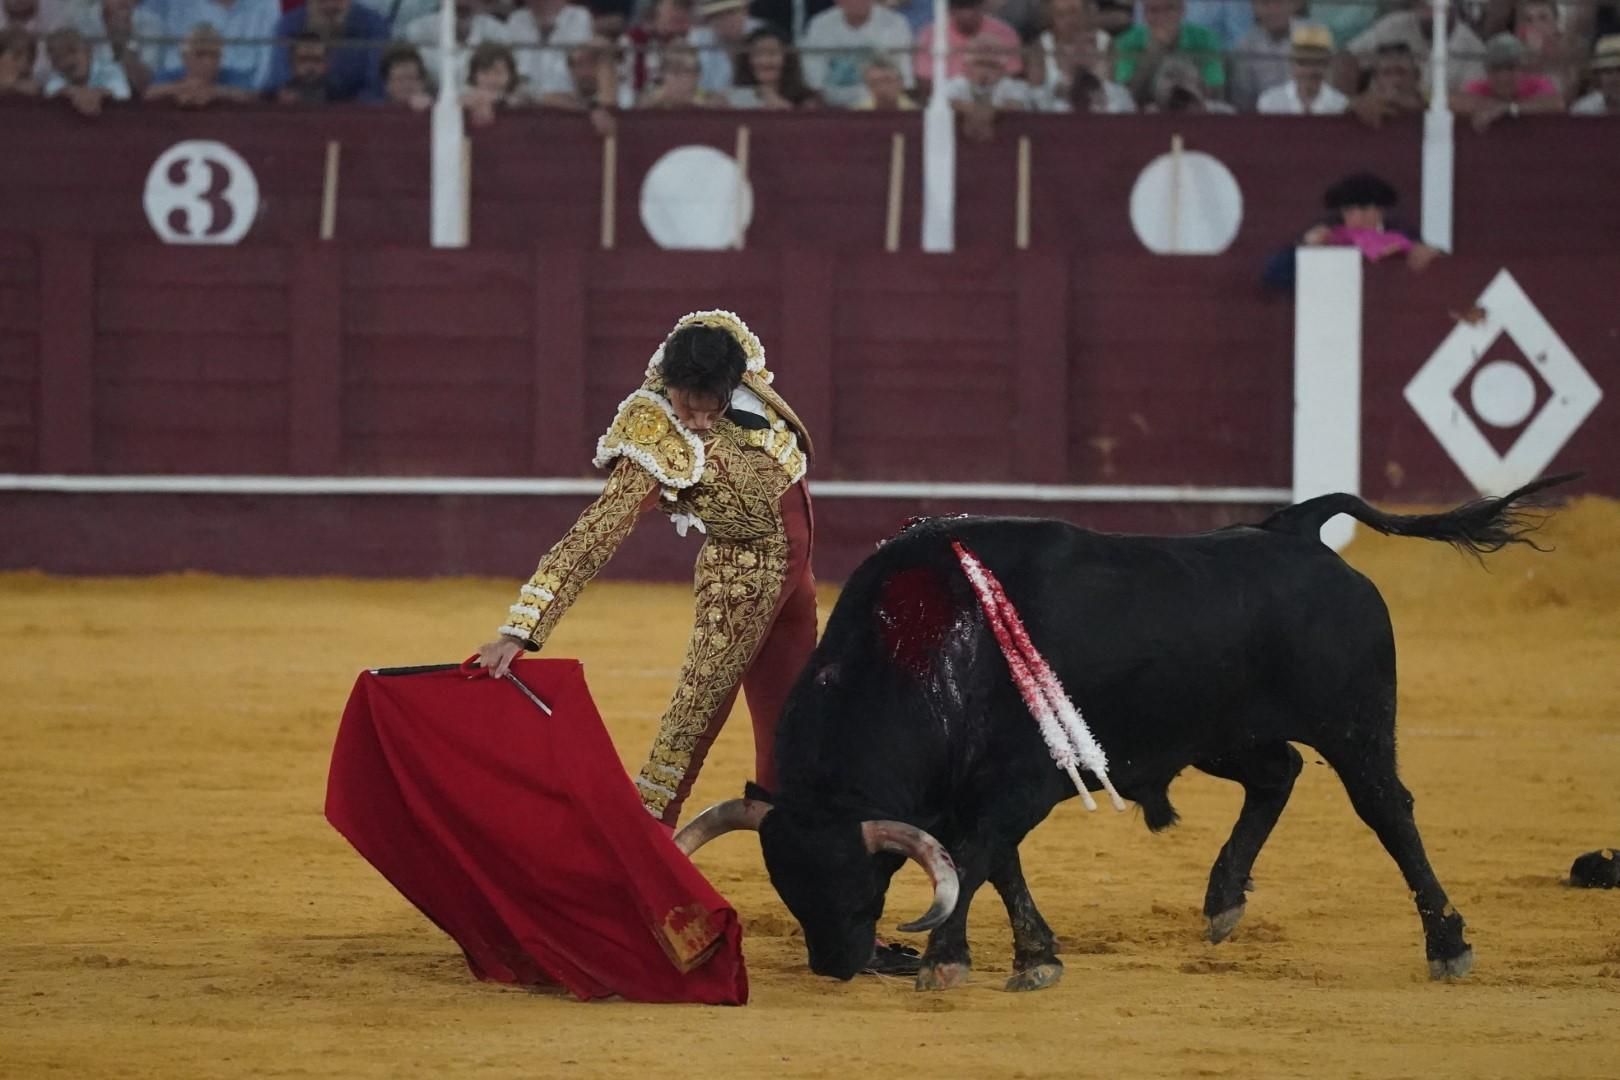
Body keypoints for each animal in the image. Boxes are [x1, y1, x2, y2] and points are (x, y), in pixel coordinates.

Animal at [673, 476, 1568, 990]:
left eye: (862, 881)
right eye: (787, 885)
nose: (835, 964)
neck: (926, 647)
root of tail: (1296, 529)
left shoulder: (1016, 784)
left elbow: (979, 856)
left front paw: (948, 960)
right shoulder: (973, 790)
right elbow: (994, 865)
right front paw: (1034, 956)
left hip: (1355, 726)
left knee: (1388, 810)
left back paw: (1447, 943)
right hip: (1219, 733)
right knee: (1276, 773)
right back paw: (1222, 903)